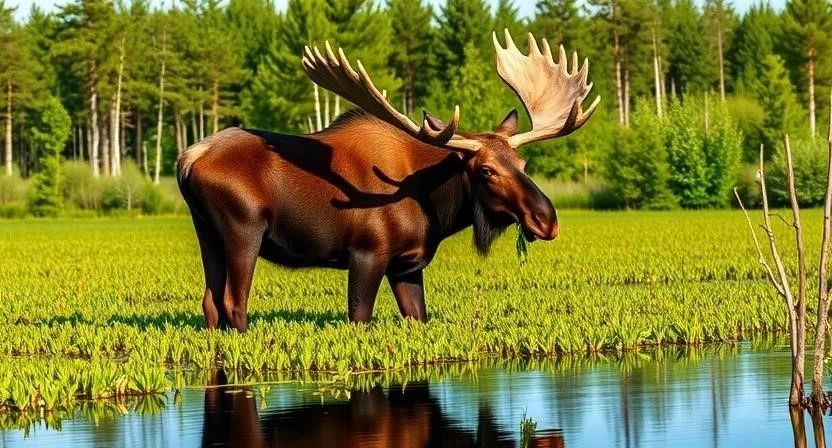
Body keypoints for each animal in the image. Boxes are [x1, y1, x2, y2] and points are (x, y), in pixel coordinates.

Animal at [177, 30, 599, 331]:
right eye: (486, 170)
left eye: (523, 162)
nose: (547, 220)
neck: (435, 208)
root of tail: (187, 158)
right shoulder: (367, 253)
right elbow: (359, 317)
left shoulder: (407, 264)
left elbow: (418, 316)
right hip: (243, 228)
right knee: (234, 302)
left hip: (205, 230)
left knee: (210, 302)